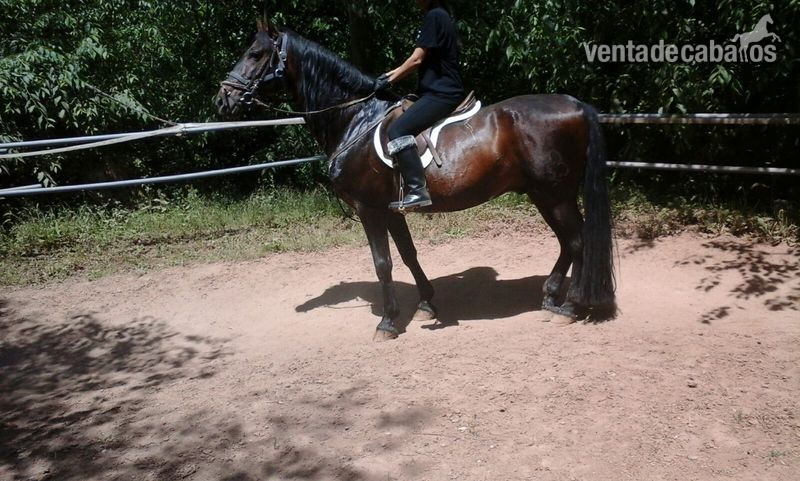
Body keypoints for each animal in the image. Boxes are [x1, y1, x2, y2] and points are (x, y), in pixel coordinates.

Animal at [215, 19, 616, 340]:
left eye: (254, 54)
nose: (223, 99)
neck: (355, 120)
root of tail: (576, 104)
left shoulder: (369, 209)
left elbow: (383, 263)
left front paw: (388, 323)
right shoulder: (392, 209)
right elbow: (408, 254)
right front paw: (426, 304)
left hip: (554, 194)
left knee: (577, 241)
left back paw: (570, 306)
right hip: (544, 194)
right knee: (569, 243)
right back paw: (552, 296)